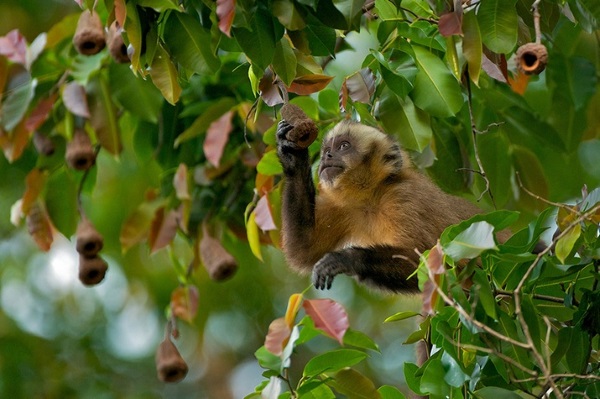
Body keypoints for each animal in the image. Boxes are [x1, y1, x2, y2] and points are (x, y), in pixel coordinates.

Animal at [278, 119, 482, 294]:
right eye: (327, 150)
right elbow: (304, 250)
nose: (327, 156)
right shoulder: (343, 207)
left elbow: (433, 260)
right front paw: (293, 155)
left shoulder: (404, 197)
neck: (372, 198)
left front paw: (346, 259)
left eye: (344, 146)